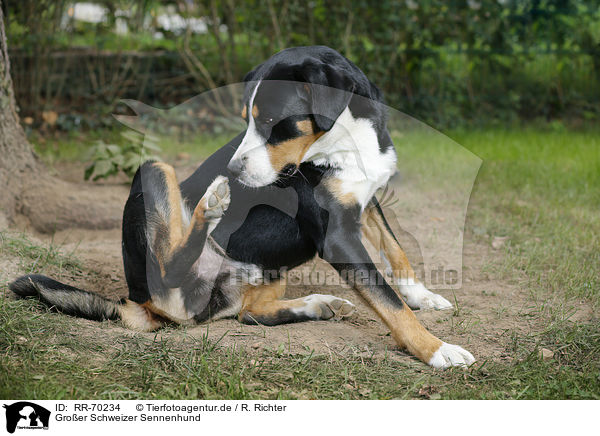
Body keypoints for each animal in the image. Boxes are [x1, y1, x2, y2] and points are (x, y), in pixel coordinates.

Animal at [8, 46, 474, 368]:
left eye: (269, 121)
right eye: (248, 120)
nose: (232, 170)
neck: (344, 144)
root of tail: (138, 303)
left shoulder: (365, 199)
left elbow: (396, 251)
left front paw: (422, 296)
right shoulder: (337, 236)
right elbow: (388, 301)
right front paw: (437, 350)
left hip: (267, 268)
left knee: (249, 313)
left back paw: (318, 304)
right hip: (153, 170)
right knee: (174, 267)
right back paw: (212, 207)